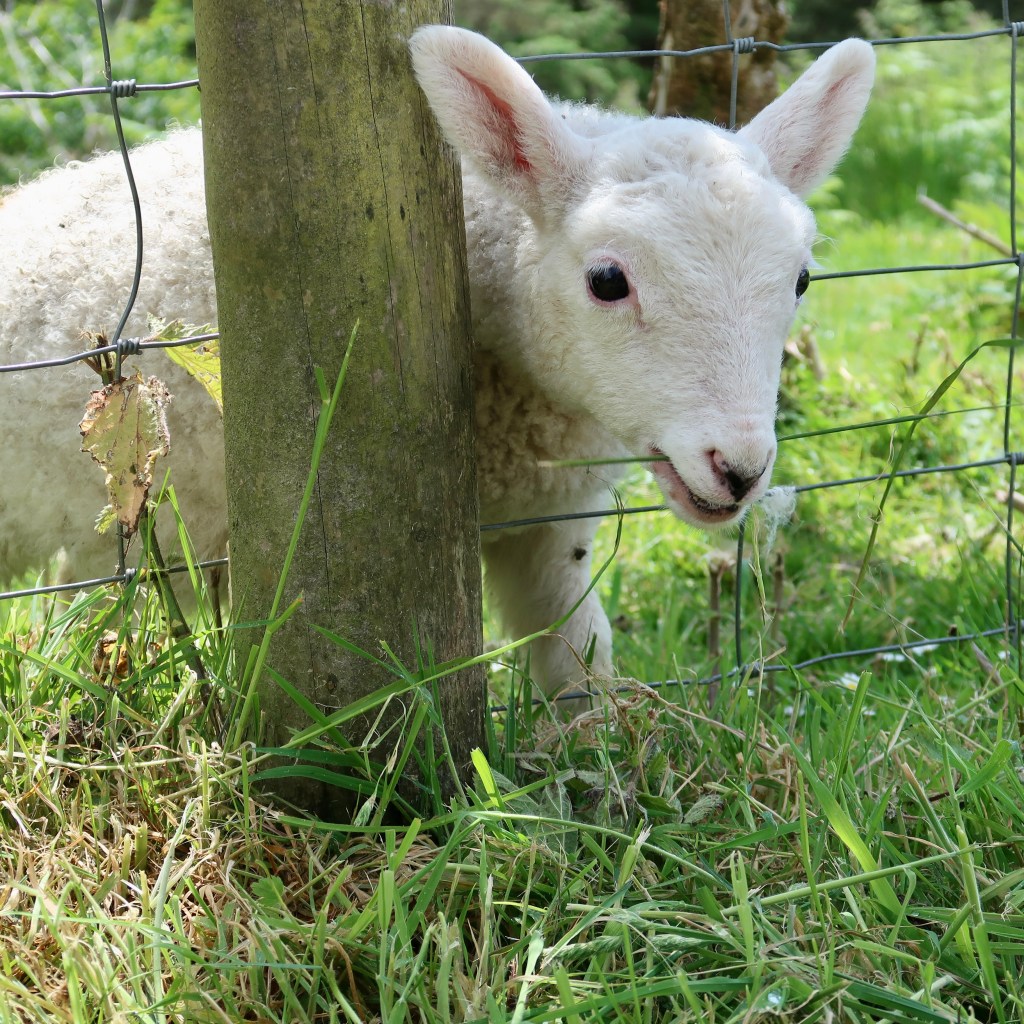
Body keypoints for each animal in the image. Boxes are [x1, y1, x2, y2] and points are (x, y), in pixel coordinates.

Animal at [0, 27, 874, 699]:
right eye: (607, 281)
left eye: (802, 279)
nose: (740, 469)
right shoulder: (162, 532)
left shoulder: (551, 521)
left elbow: (576, 654)